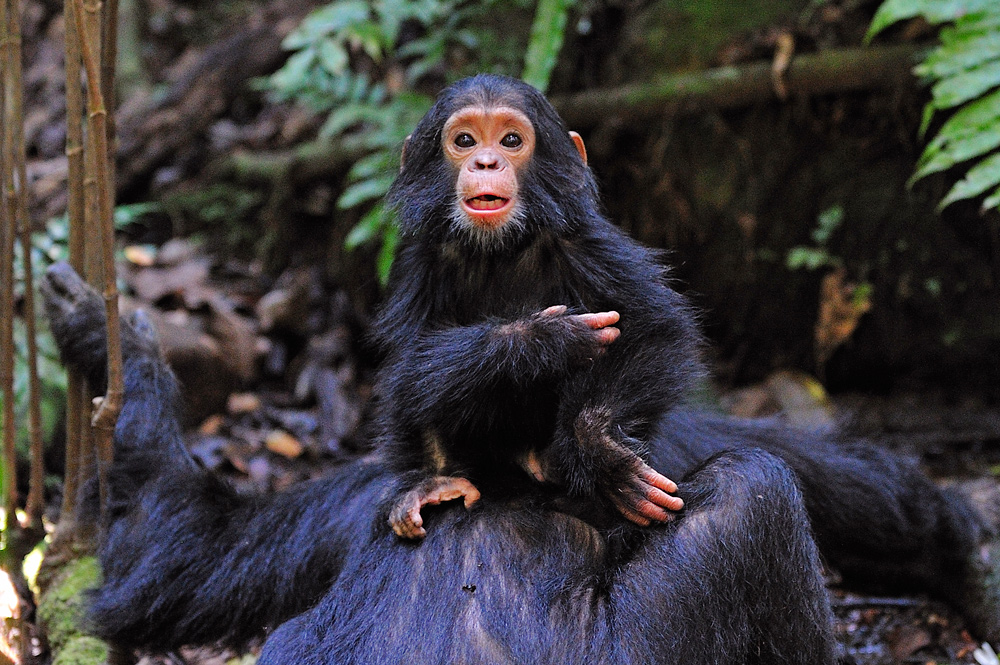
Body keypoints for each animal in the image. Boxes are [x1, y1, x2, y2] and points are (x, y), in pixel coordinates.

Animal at [41, 72, 1000, 664]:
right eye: (464, 138)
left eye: (512, 137)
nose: (487, 159)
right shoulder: (418, 286)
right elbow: (178, 553)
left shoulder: (592, 251)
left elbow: (177, 551)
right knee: (757, 488)